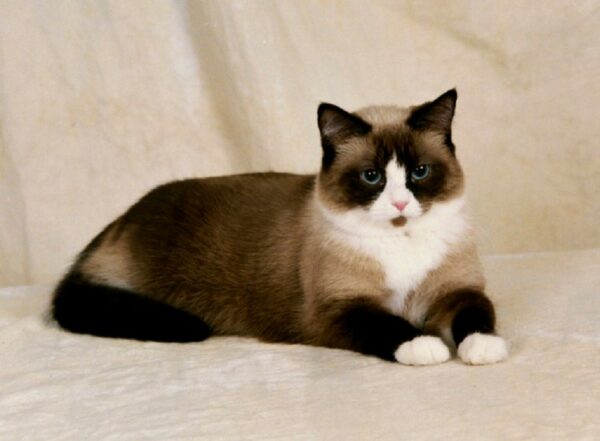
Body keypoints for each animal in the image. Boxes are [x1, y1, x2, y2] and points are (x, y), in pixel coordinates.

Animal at [54, 88, 508, 364]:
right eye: (372, 177)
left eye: (419, 172)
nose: (399, 202)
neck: (402, 240)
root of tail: (120, 220)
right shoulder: (342, 309)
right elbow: (390, 325)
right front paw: (425, 347)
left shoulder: (457, 292)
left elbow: (477, 315)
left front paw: (483, 348)